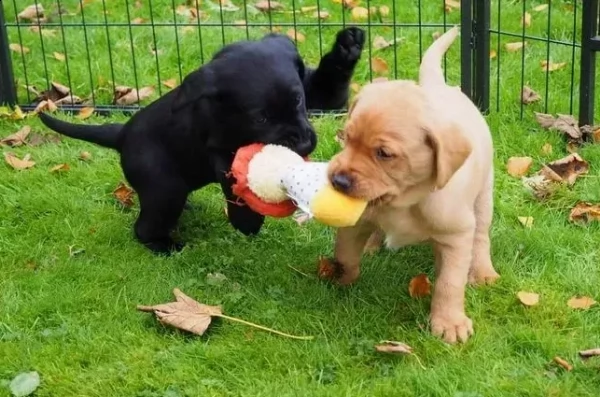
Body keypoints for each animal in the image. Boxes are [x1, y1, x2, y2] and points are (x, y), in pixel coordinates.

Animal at [39, 26, 366, 254]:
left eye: (298, 101)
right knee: (144, 227)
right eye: (260, 118)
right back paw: (165, 246)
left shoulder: (316, 93)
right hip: (164, 188)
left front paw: (346, 47)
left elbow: (328, 88)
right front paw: (246, 221)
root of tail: (122, 133)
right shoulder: (217, 149)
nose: (304, 145)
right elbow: (232, 177)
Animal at [326, 27, 500, 344]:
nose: (338, 181)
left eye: (384, 154)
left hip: (483, 196)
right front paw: (341, 277)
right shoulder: (356, 222)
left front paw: (449, 322)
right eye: (345, 137)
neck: (404, 201)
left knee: (481, 235)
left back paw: (482, 271)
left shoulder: (457, 236)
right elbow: (345, 252)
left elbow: (449, 283)